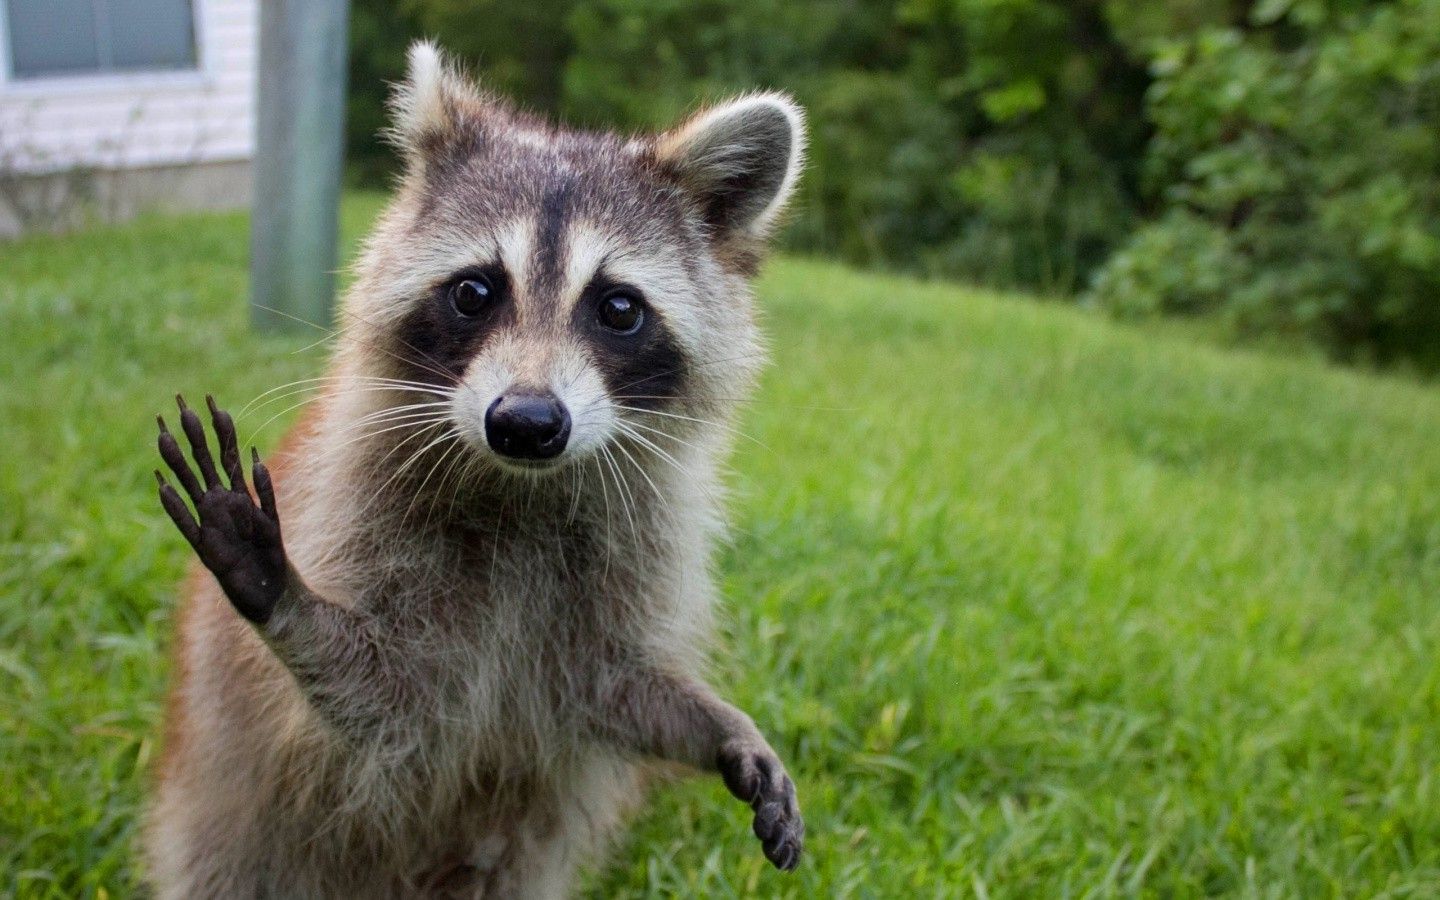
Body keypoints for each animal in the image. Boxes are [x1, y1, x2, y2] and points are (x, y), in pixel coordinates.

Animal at [143, 42, 806, 898]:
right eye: (473, 291)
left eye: (619, 308)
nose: (526, 422)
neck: (522, 490)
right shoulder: (358, 516)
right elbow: (381, 698)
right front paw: (287, 600)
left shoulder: (633, 555)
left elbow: (612, 688)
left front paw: (717, 722)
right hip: (228, 832)